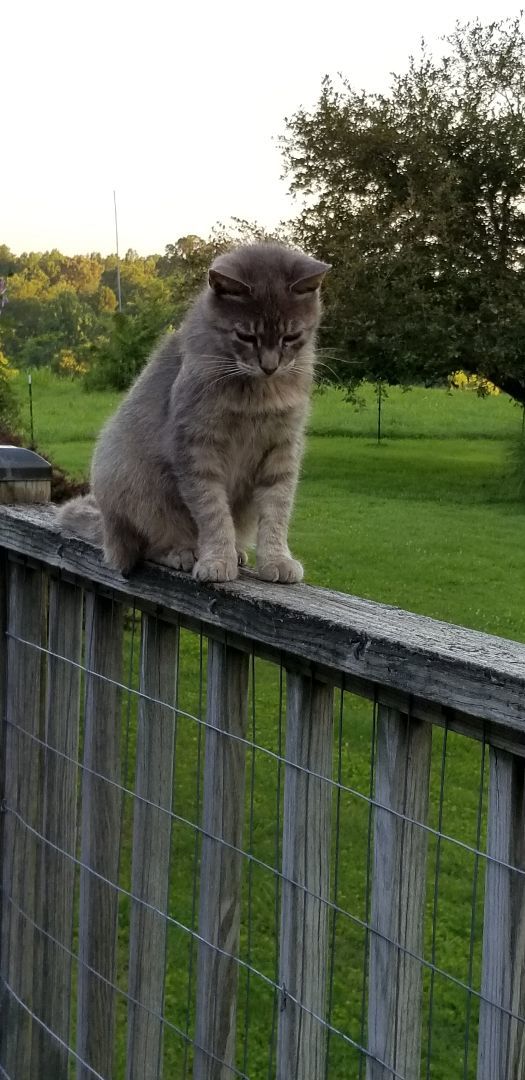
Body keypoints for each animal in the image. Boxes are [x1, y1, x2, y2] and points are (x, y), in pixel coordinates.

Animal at [56, 244, 328, 583]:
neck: (256, 394)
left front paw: (276, 560)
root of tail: (107, 530)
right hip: (135, 487)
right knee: (148, 545)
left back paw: (238, 552)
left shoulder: (282, 448)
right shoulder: (197, 447)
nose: (270, 366)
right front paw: (217, 560)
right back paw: (183, 553)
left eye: (290, 337)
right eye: (246, 336)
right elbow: (213, 513)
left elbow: (276, 510)